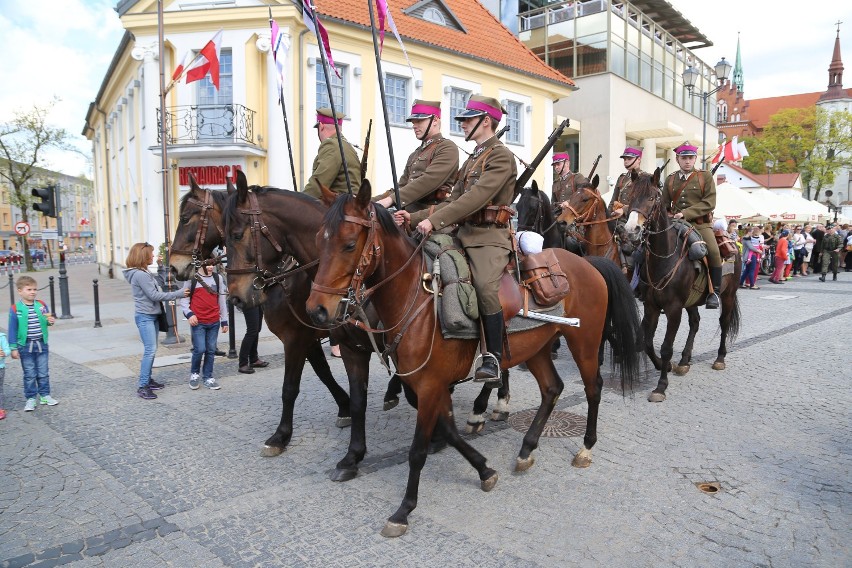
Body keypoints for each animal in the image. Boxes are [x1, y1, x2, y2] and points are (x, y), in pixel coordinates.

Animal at [168, 173, 354, 458]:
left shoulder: (295, 339)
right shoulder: (306, 337)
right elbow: (323, 373)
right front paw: (345, 407)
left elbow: (290, 387)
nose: (173, 267)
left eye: (186, 218)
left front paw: (281, 435)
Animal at [306, 181, 640, 536]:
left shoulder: (429, 386)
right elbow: (450, 431)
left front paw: (403, 510)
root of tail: (589, 263)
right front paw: (484, 470)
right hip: (536, 350)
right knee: (552, 389)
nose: (317, 311)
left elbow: (417, 451)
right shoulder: (431, 385)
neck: (416, 298)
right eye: (318, 241)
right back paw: (526, 448)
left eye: (349, 244)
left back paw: (586, 448)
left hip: (585, 343)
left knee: (593, 388)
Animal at [624, 166, 744, 402]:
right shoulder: (652, 307)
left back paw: (720, 359)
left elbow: (666, 347)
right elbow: (647, 342)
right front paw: (665, 366)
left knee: (724, 323)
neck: (664, 258)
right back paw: (684, 361)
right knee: (695, 323)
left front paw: (660, 386)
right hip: (692, 301)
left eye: (652, 198)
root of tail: (732, 240)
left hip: (727, 295)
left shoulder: (673, 309)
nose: (631, 230)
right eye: (630, 196)